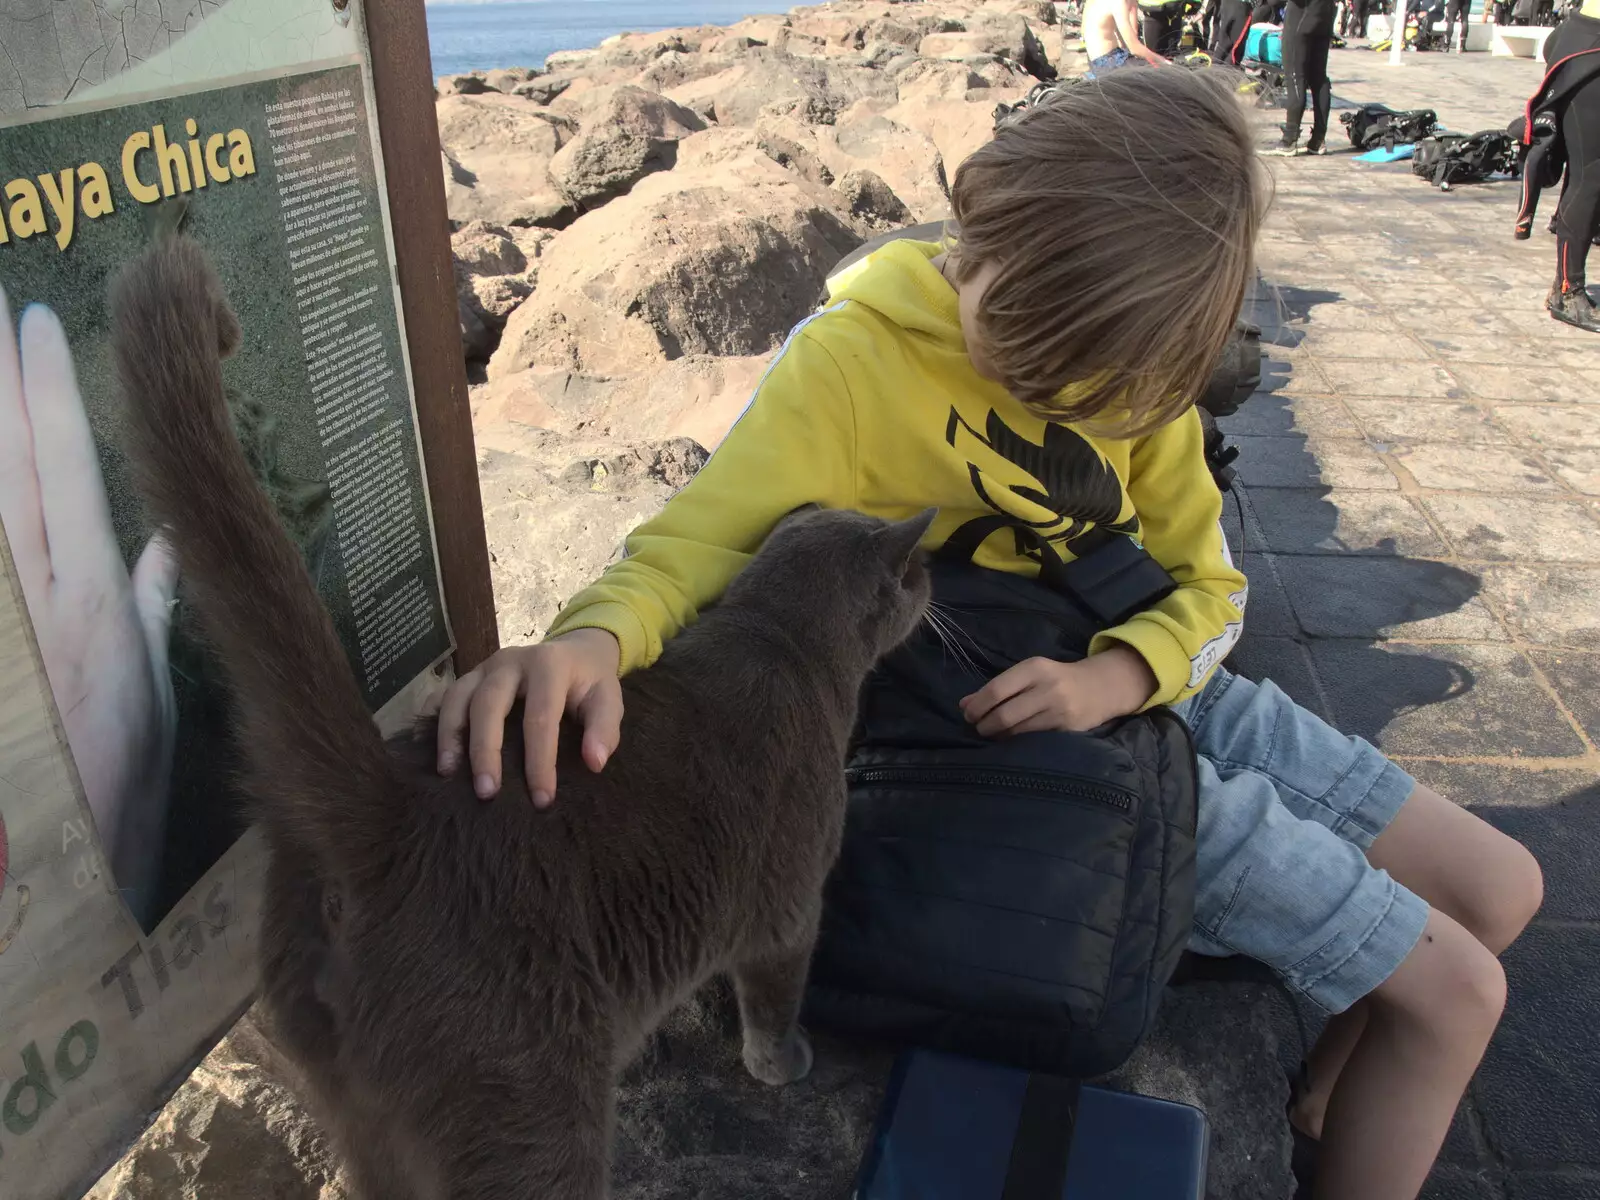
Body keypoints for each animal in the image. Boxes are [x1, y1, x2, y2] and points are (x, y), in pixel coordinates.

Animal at [109, 236, 934, 1200]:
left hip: (354, 1096)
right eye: (915, 574)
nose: (935, 576)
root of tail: (384, 813)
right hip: (527, 1090)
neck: (779, 634)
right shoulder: (790, 902)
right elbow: (774, 992)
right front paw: (783, 1063)